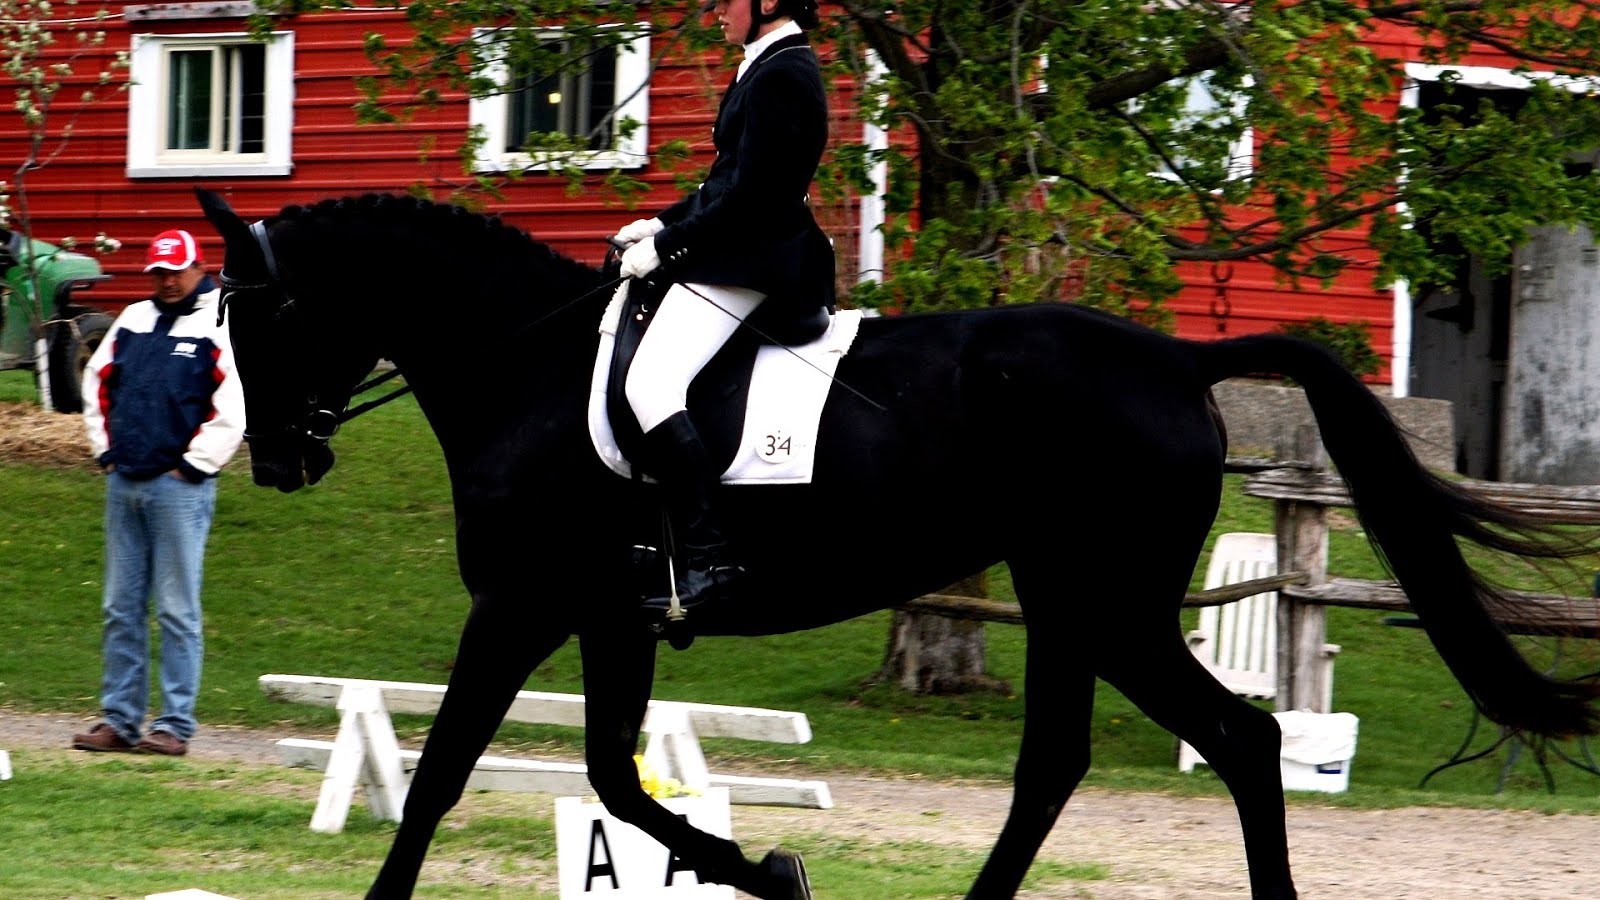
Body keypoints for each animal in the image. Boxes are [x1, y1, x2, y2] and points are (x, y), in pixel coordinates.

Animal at [196, 187, 1600, 900]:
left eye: (261, 312)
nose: (279, 461)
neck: (529, 370)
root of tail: (1171, 360)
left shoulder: (522, 605)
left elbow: (444, 775)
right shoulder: (608, 616)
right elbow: (607, 781)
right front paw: (768, 866)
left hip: (1106, 601)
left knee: (1236, 742)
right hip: (1073, 601)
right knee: (1067, 764)